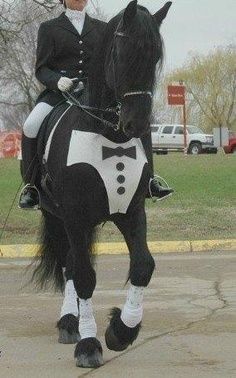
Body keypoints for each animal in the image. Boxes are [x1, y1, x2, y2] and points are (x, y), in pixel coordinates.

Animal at [30, 0, 171, 366]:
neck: (109, 135)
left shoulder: (131, 210)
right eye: (120, 54)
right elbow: (83, 276)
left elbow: (143, 266)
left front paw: (121, 331)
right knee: (69, 265)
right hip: (56, 216)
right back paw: (70, 324)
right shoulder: (75, 215)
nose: (137, 124)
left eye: (155, 56)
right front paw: (89, 344)